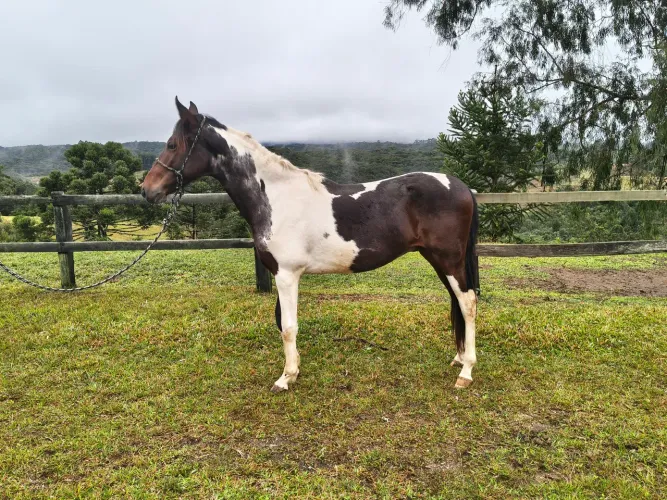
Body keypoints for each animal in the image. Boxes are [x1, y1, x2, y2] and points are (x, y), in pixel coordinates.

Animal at [141, 97, 480, 392]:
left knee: (468, 303)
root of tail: (462, 186)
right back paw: (458, 358)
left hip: (448, 259)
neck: (275, 197)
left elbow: (289, 326)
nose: (147, 189)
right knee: (458, 302)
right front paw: (294, 370)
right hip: (438, 260)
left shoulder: (287, 275)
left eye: (173, 144)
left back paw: (466, 372)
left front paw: (285, 378)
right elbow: (282, 324)